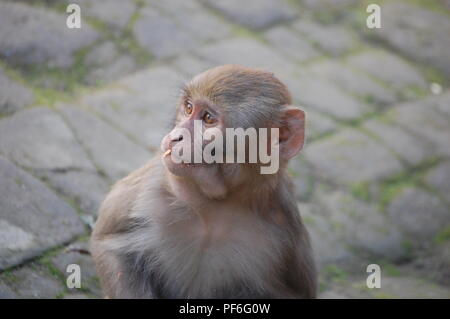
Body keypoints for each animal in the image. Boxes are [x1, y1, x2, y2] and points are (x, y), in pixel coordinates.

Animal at [90, 65, 316, 300]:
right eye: (188, 107)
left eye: (208, 118)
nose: (176, 136)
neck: (214, 205)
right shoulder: (150, 185)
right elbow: (108, 246)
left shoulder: (285, 225)